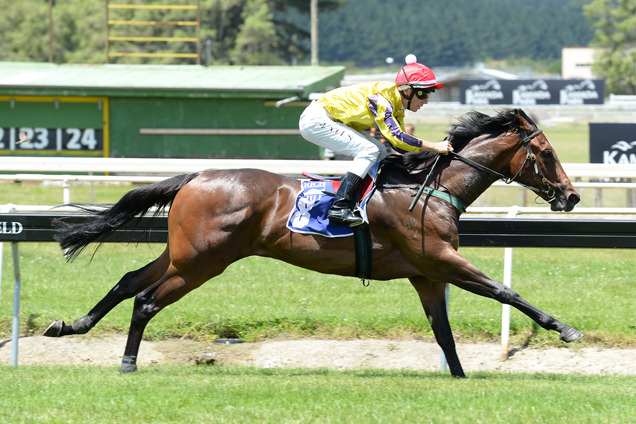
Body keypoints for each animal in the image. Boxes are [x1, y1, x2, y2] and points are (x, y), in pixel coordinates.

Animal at [43, 107, 580, 378]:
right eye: (546, 152)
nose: (572, 196)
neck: (429, 190)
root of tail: (196, 175)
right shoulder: (443, 260)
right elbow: (504, 291)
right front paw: (566, 329)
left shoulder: (426, 274)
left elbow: (443, 331)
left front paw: (460, 378)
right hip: (202, 262)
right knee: (147, 301)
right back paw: (128, 362)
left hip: (183, 253)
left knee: (129, 281)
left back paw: (71, 325)